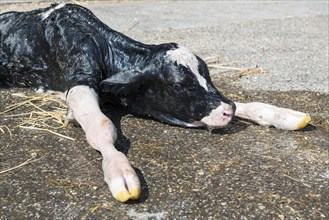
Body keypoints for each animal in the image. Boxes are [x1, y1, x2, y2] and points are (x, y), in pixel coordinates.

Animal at [0, 3, 308, 203]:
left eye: (206, 73)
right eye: (178, 85)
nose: (226, 112)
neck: (103, 43)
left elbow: (245, 103)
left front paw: (283, 115)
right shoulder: (79, 77)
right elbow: (101, 125)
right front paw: (120, 172)